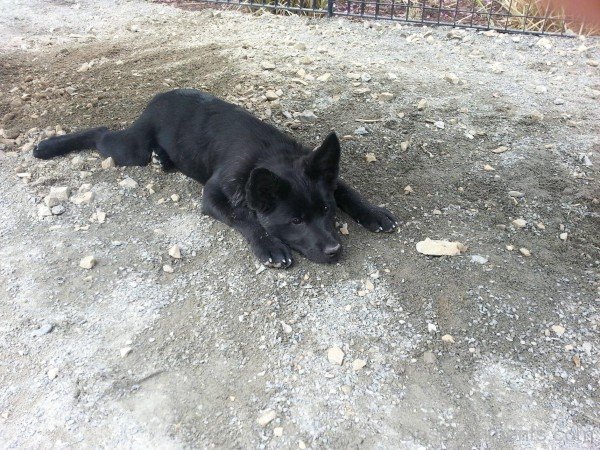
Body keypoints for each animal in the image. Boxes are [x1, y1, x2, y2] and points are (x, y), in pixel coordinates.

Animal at [35, 89, 396, 268]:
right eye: (295, 221)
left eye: (326, 211)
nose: (335, 250)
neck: (270, 157)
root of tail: (160, 96)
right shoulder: (212, 196)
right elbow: (244, 218)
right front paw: (269, 246)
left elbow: (347, 190)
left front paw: (374, 213)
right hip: (130, 149)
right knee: (101, 133)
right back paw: (47, 146)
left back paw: (162, 159)